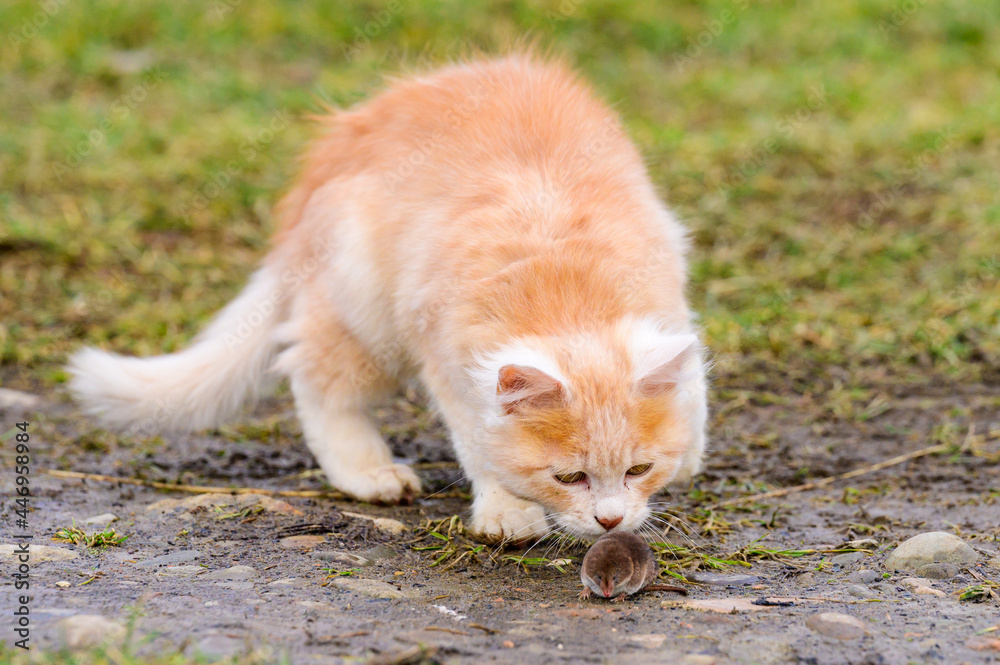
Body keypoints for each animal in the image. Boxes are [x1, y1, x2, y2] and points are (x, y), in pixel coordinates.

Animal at [68, 54, 704, 544]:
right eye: (569, 478)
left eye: (639, 468)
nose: (610, 521)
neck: (566, 288)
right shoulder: (445, 355)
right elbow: (480, 444)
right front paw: (508, 511)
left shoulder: (671, 297)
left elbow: (692, 389)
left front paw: (689, 453)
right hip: (365, 303)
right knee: (315, 379)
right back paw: (369, 473)